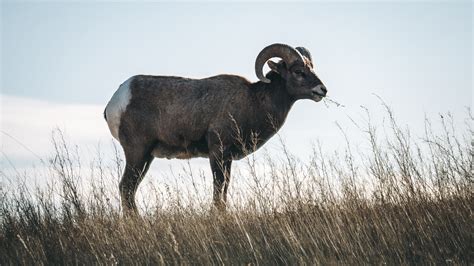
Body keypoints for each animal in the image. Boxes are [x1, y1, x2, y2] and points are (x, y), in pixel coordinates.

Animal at [103, 43, 326, 214]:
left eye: (311, 68)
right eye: (299, 72)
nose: (322, 90)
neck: (254, 101)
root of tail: (117, 100)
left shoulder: (227, 159)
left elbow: (224, 190)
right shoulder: (218, 153)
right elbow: (219, 189)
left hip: (147, 157)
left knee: (129, 190)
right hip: (137, 153)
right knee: (126, 188)